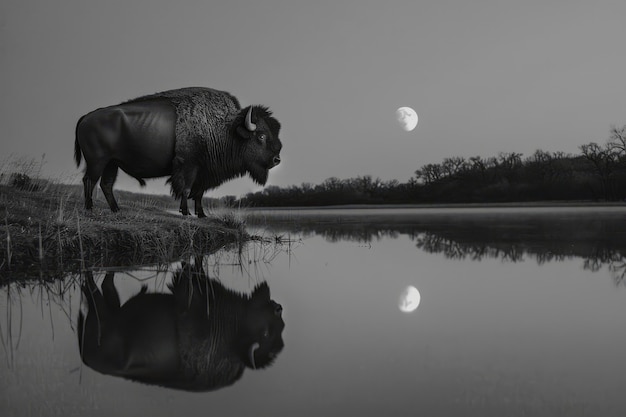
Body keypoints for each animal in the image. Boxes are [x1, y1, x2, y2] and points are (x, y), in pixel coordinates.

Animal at [71, 88, 282, 218]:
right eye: (261, 136)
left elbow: (199, 193)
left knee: (106, 184)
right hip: (98, 161)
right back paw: (89, 208)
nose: (276, 159)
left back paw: (116, 210)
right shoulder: (189, 166)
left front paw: (201, 214)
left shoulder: (203, 172)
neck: (224, 129)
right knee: (89, 180)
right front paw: (185, 212)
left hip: (111, 164)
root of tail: (86, 117)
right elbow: (186, 189)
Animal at [77, 264, 284, 390]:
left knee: (105, 284)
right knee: (94, 288)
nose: (279, 308)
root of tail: (86, 359)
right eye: (266, 333)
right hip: (101, 312)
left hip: (110, 306)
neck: (233, 338)